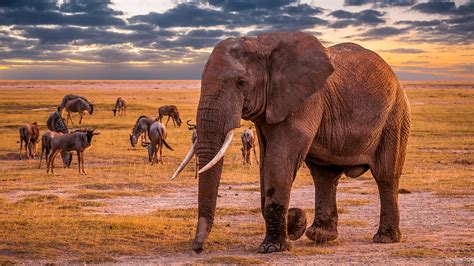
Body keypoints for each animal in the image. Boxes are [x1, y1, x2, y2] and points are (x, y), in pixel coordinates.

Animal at [171, 31, 412, 254]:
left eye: (241, 83)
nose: (197, 248)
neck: (262, 44)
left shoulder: (306, 100)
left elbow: (278, 160)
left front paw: (271, 248)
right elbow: (267, 162)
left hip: (395, 115)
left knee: (385, 175)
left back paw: (384, 238)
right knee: (324, 176)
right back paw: (320, 235)